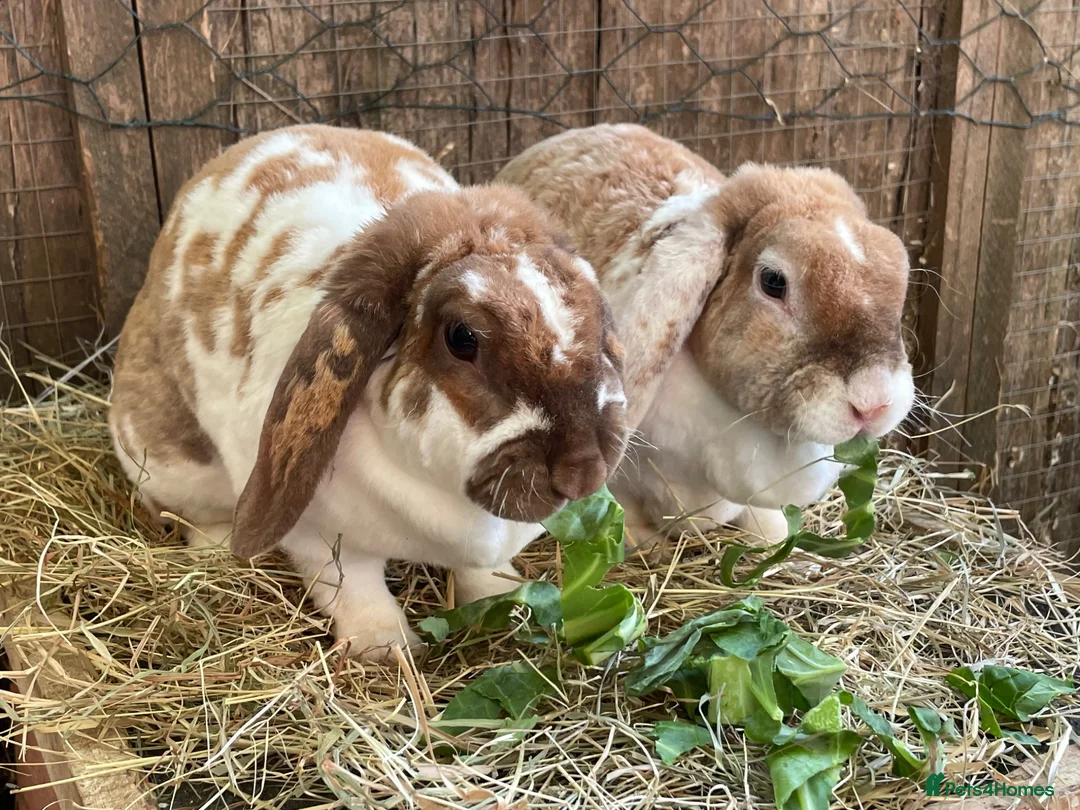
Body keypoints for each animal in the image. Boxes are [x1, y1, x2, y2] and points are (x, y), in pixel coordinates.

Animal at [109, 125, 629, 659]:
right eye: (462, 337)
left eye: (595, 314)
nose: (582, 470)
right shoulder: (321, 539)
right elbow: (354, 586)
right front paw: (387, 648)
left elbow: (479, 576)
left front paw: (507, 600)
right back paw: (213, 549)